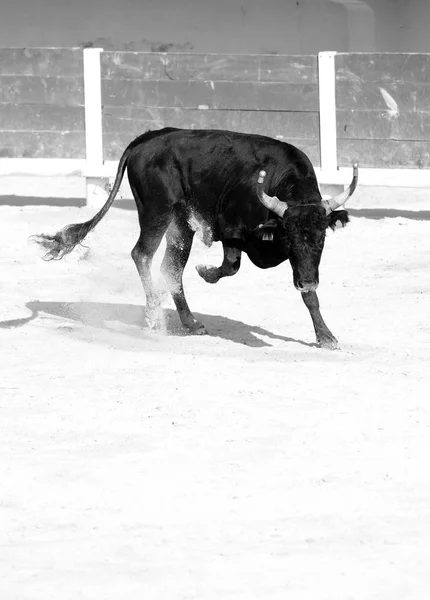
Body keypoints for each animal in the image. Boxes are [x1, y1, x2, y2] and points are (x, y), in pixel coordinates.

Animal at [31, 129, 358, 350]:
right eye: (288, 237)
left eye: (321, 238)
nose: (308, 281)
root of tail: (149, 138)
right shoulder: (231, 231)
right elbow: (231, 266)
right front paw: (206, 272)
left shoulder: (303, 263)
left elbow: (308, 294)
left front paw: (325, 336)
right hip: (156, 211)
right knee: (143, 255)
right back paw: (154, 315)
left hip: (180, 225)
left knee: (170, 269)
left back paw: (189, 322)